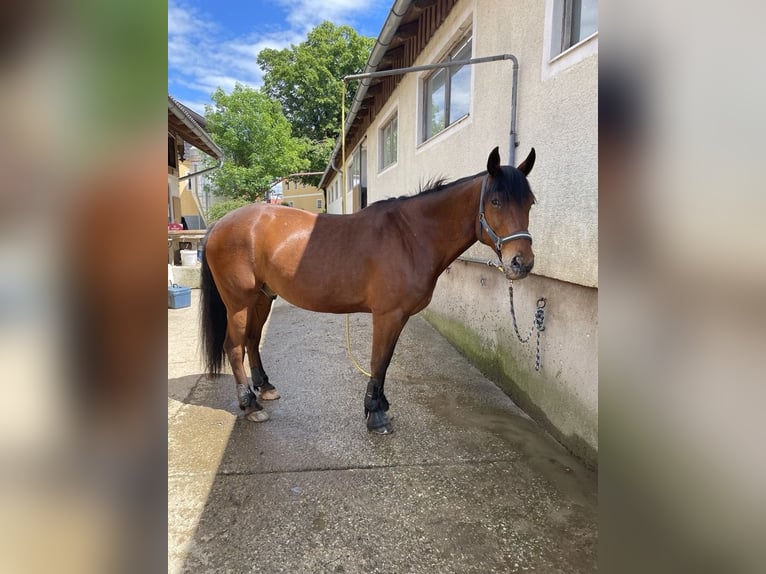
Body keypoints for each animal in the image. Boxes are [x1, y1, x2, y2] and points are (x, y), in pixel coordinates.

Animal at [200, 146, 536, 434]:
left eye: (530, 201)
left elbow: (384, 362)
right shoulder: (387, 314)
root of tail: (219, 225)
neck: (410, 236)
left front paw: (380, 405)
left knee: (252, 340)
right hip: (239, 303)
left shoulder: (399, 317)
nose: (522, 262)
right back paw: (249, 405)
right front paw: (375, 415)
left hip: (262, 298)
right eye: (495, 201)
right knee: (234, 346)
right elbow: (378, 361)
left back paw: (265, 389)